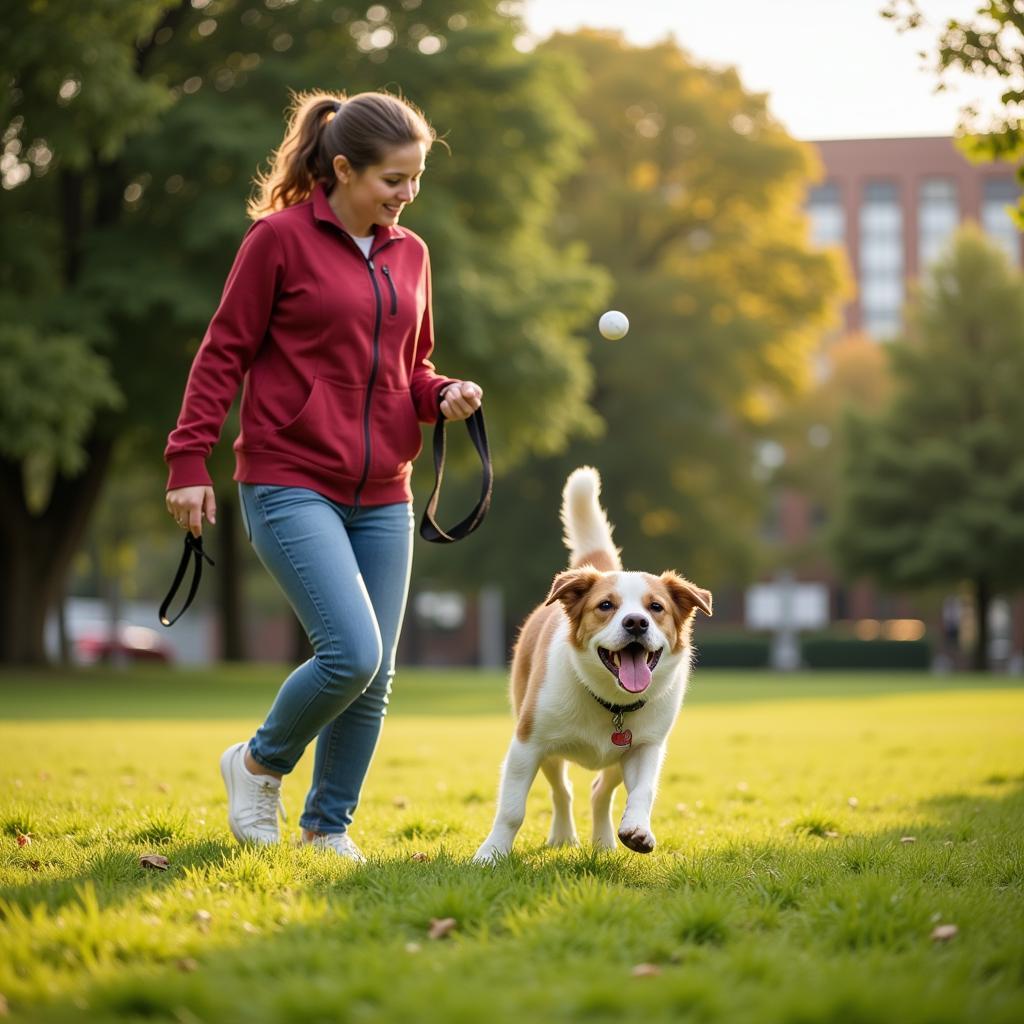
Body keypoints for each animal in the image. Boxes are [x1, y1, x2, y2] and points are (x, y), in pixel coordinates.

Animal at [473, 468, 708, 860]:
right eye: (606, 606)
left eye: (655, 607)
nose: (636, 623)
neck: (612, 703)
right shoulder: (527, 744)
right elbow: (512, 809)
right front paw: (492, 853)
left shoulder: (646, 747)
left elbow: (642, 791)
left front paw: (637, 830)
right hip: (547, 748)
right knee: (562, 791)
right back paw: (563, 835)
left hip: (616, 759)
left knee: (601, 791)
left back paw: (603, 842)